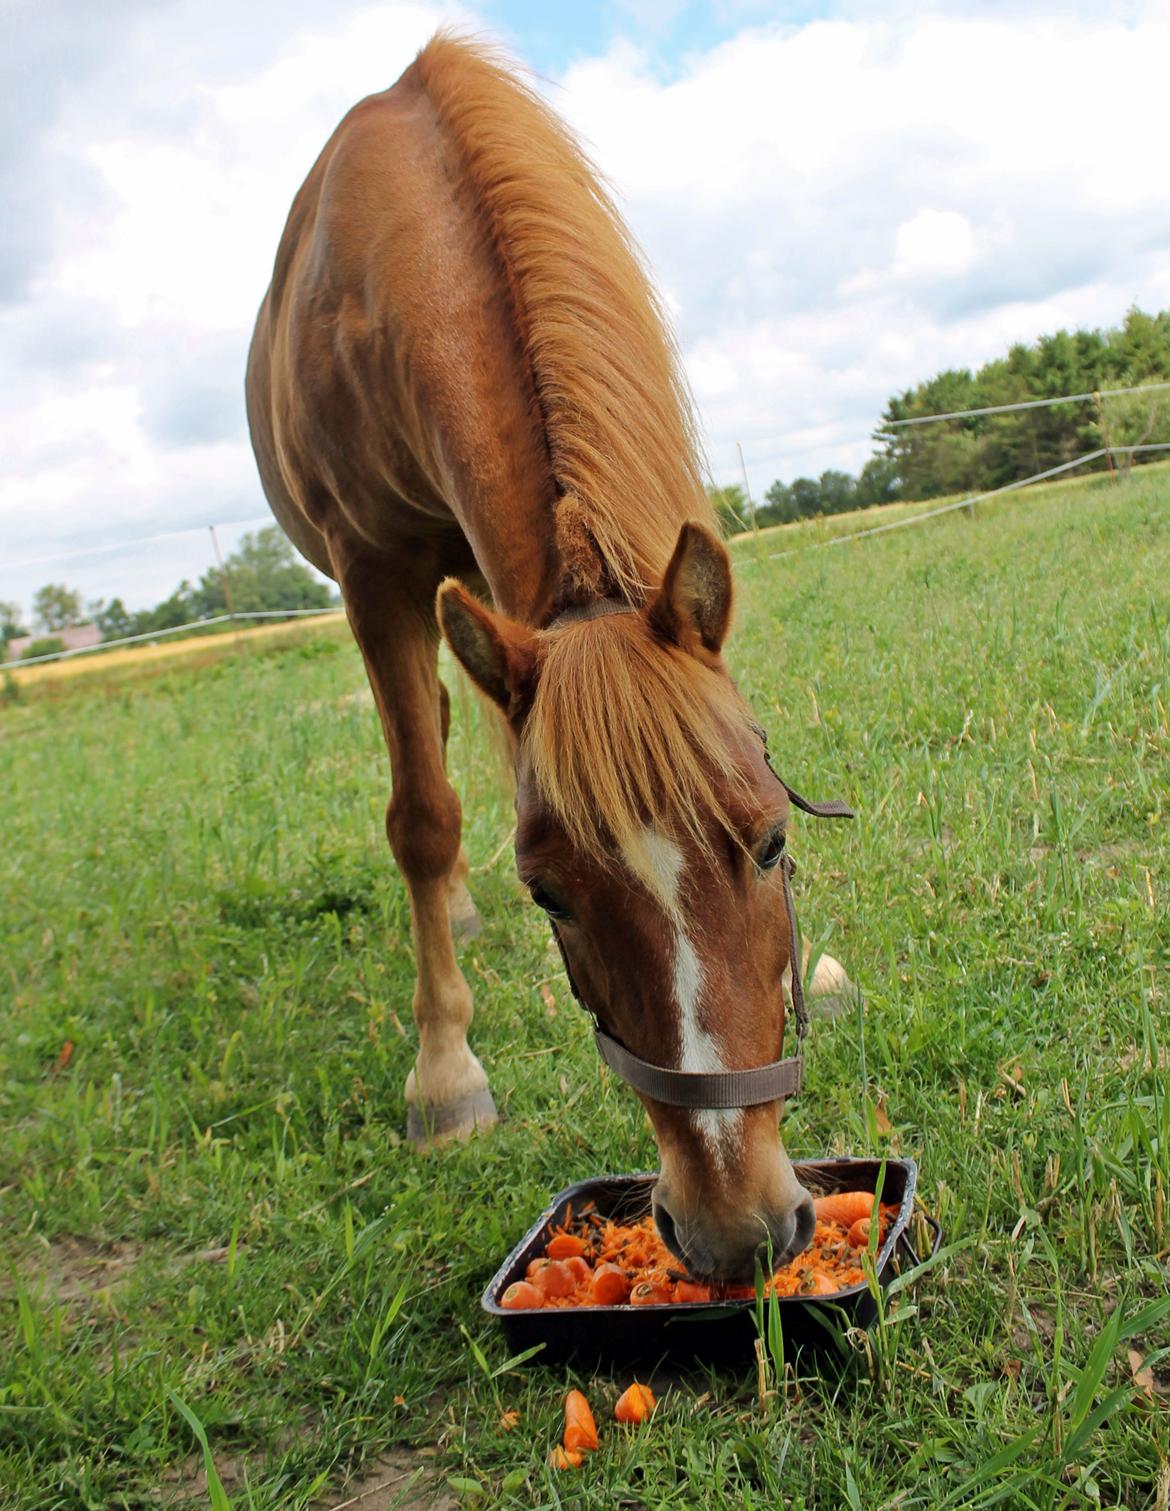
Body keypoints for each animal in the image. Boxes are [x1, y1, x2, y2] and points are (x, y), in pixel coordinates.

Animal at [247, 29, 852, 1281]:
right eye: (550, 893)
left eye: (772, 841)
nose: (734, 1225)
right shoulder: (372, 569)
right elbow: (423, 814)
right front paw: (445, 1073)